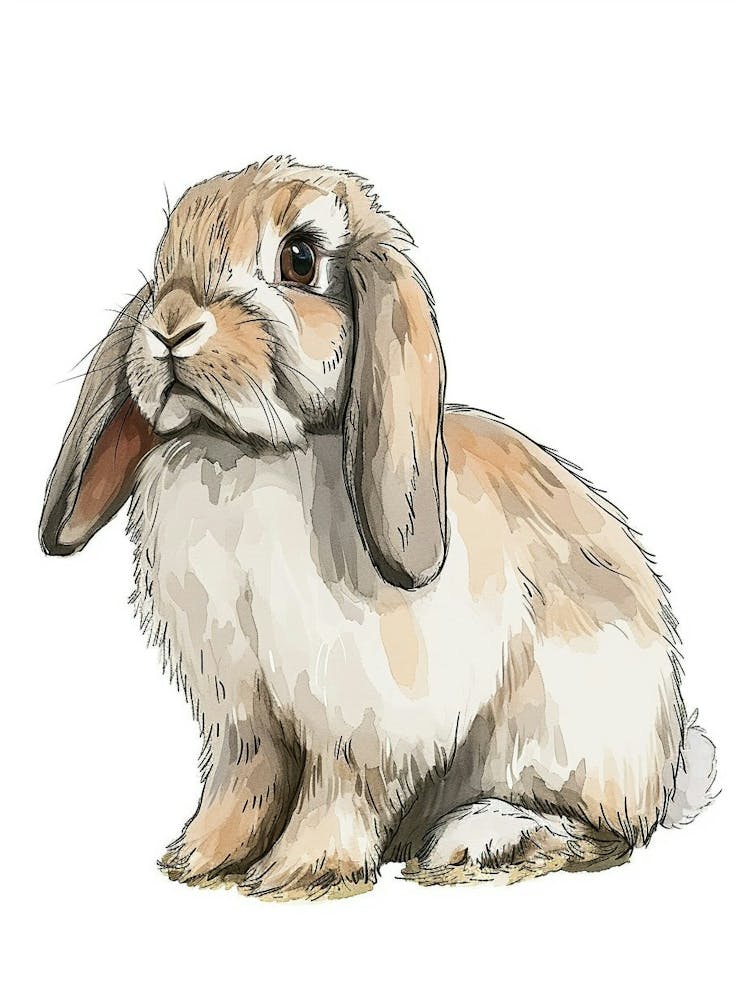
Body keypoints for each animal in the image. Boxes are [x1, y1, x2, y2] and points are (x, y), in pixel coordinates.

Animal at [39, 156, 717, 900]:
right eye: (163, 260)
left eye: (299, 259)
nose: (170, 325)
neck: (251, 449)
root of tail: (669, 767)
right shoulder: (243, 710)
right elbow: (243, 783)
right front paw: (199, 858)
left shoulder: (358, 715)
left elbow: (336, 789)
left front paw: (299, 872)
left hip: (563, 735)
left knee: (603, 830)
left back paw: (479, 840)